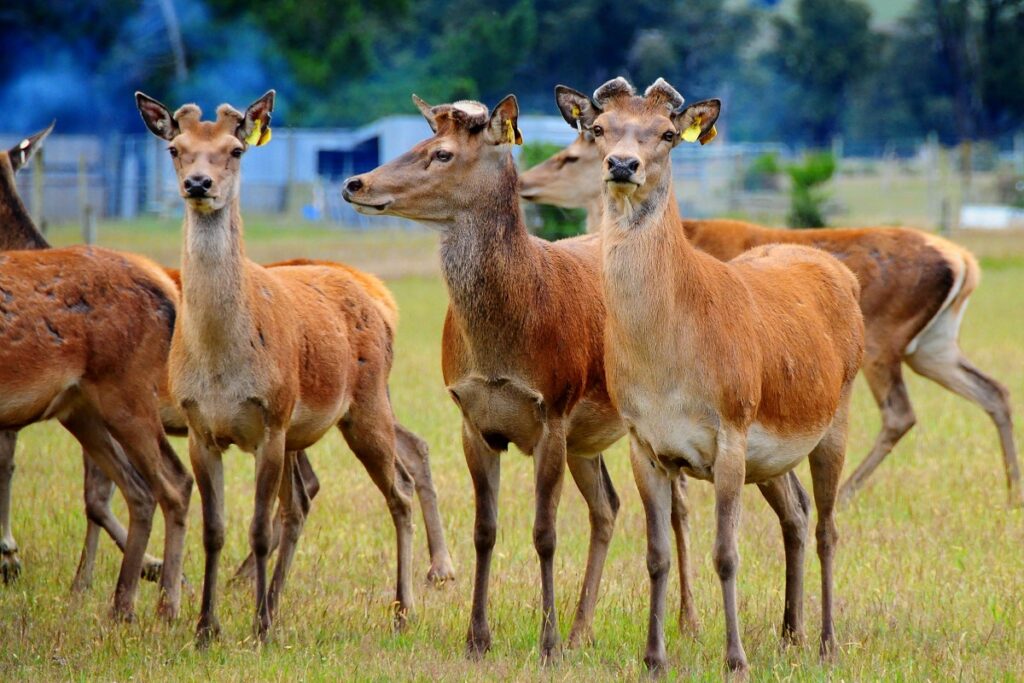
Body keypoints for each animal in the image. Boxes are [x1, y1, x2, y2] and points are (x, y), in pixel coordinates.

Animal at [138, 89, 421, 643]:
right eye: (175, 149)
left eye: (236, 150)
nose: (198, 184)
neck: (221, 364)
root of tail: (379, 301)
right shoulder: (201, 427)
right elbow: (215, 530)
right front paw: (206, 628)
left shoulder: (269, 419)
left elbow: (257, 529)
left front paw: (260, 630)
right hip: (301, 430)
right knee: (300, 503)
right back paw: (273, 600)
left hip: (366, 404)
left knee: (399, 492)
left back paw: (401, 611)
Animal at [524, 120, 1019, 509]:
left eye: (568, 157)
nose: (525, 182)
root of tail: (964, 261)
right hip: (933, 345)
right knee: (993, 389)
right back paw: (1013, 490)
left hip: (886, 340)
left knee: (900, 413)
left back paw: (847, 492)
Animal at [552, 77, 864, 675]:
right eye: (598, 128)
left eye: (668, 134)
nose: (622, 164)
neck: (667, 369)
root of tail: (845, 277)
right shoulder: (643, 441)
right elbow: (655, 555)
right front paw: (654, 657)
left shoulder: (732, 429)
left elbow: (726, 554)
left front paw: (735, 659)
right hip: (773, 456)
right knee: (796, 513)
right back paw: (789, 634)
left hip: (836, 415)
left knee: (828, 527)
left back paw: (826, 642)